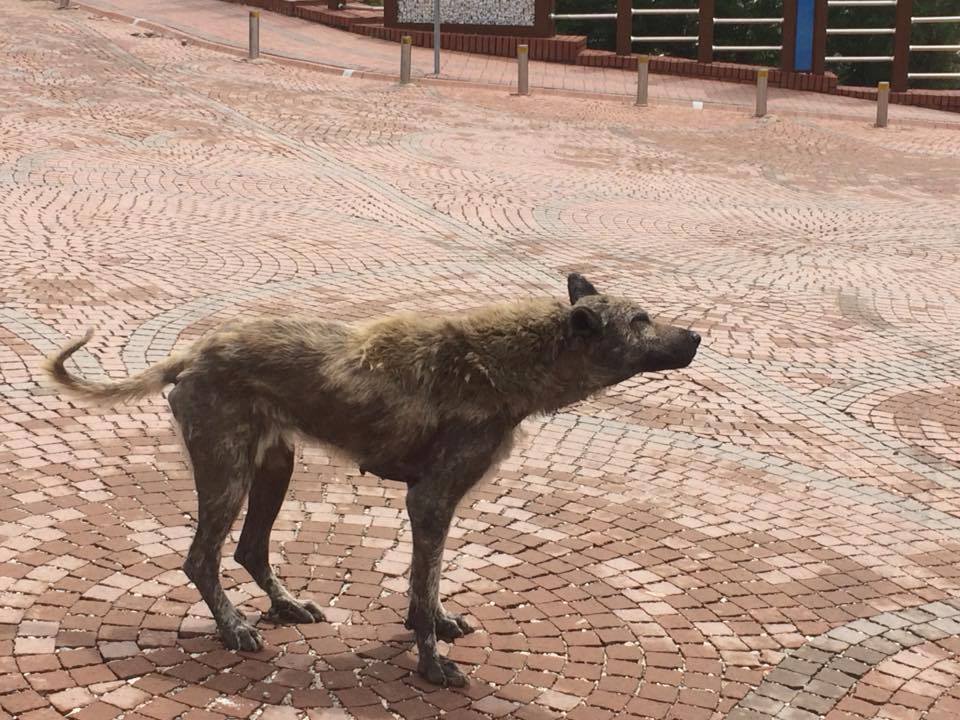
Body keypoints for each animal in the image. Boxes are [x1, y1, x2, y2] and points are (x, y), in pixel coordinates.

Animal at [45, 272, 700, 688]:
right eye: (641, 320)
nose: (696, 336)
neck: (511, 360)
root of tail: (195, 352)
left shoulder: (431, 505)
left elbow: (423, 586)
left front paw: (430, 625)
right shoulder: (431, 501)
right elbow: (425, 584)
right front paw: (431, 665)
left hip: (273, 468)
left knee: (249, 549)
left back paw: (284, 605)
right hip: (228, 474)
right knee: (201, 558)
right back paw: (234, 628)